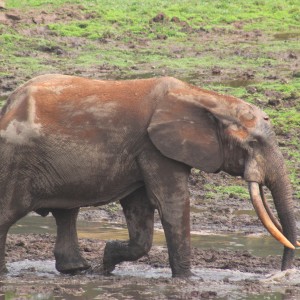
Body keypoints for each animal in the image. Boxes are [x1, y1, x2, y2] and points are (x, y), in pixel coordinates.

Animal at [0, 74, 296, 276]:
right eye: (254, 143)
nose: (283, 272)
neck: (205, 98)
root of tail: (9, 104)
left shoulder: (144, 151)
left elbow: (140, 210)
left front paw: (106, 262)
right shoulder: (155, 148)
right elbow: (171, 204)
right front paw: (186, 279)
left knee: (66, 213)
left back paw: (77, 270)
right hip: (16, 160)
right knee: (9, 213)